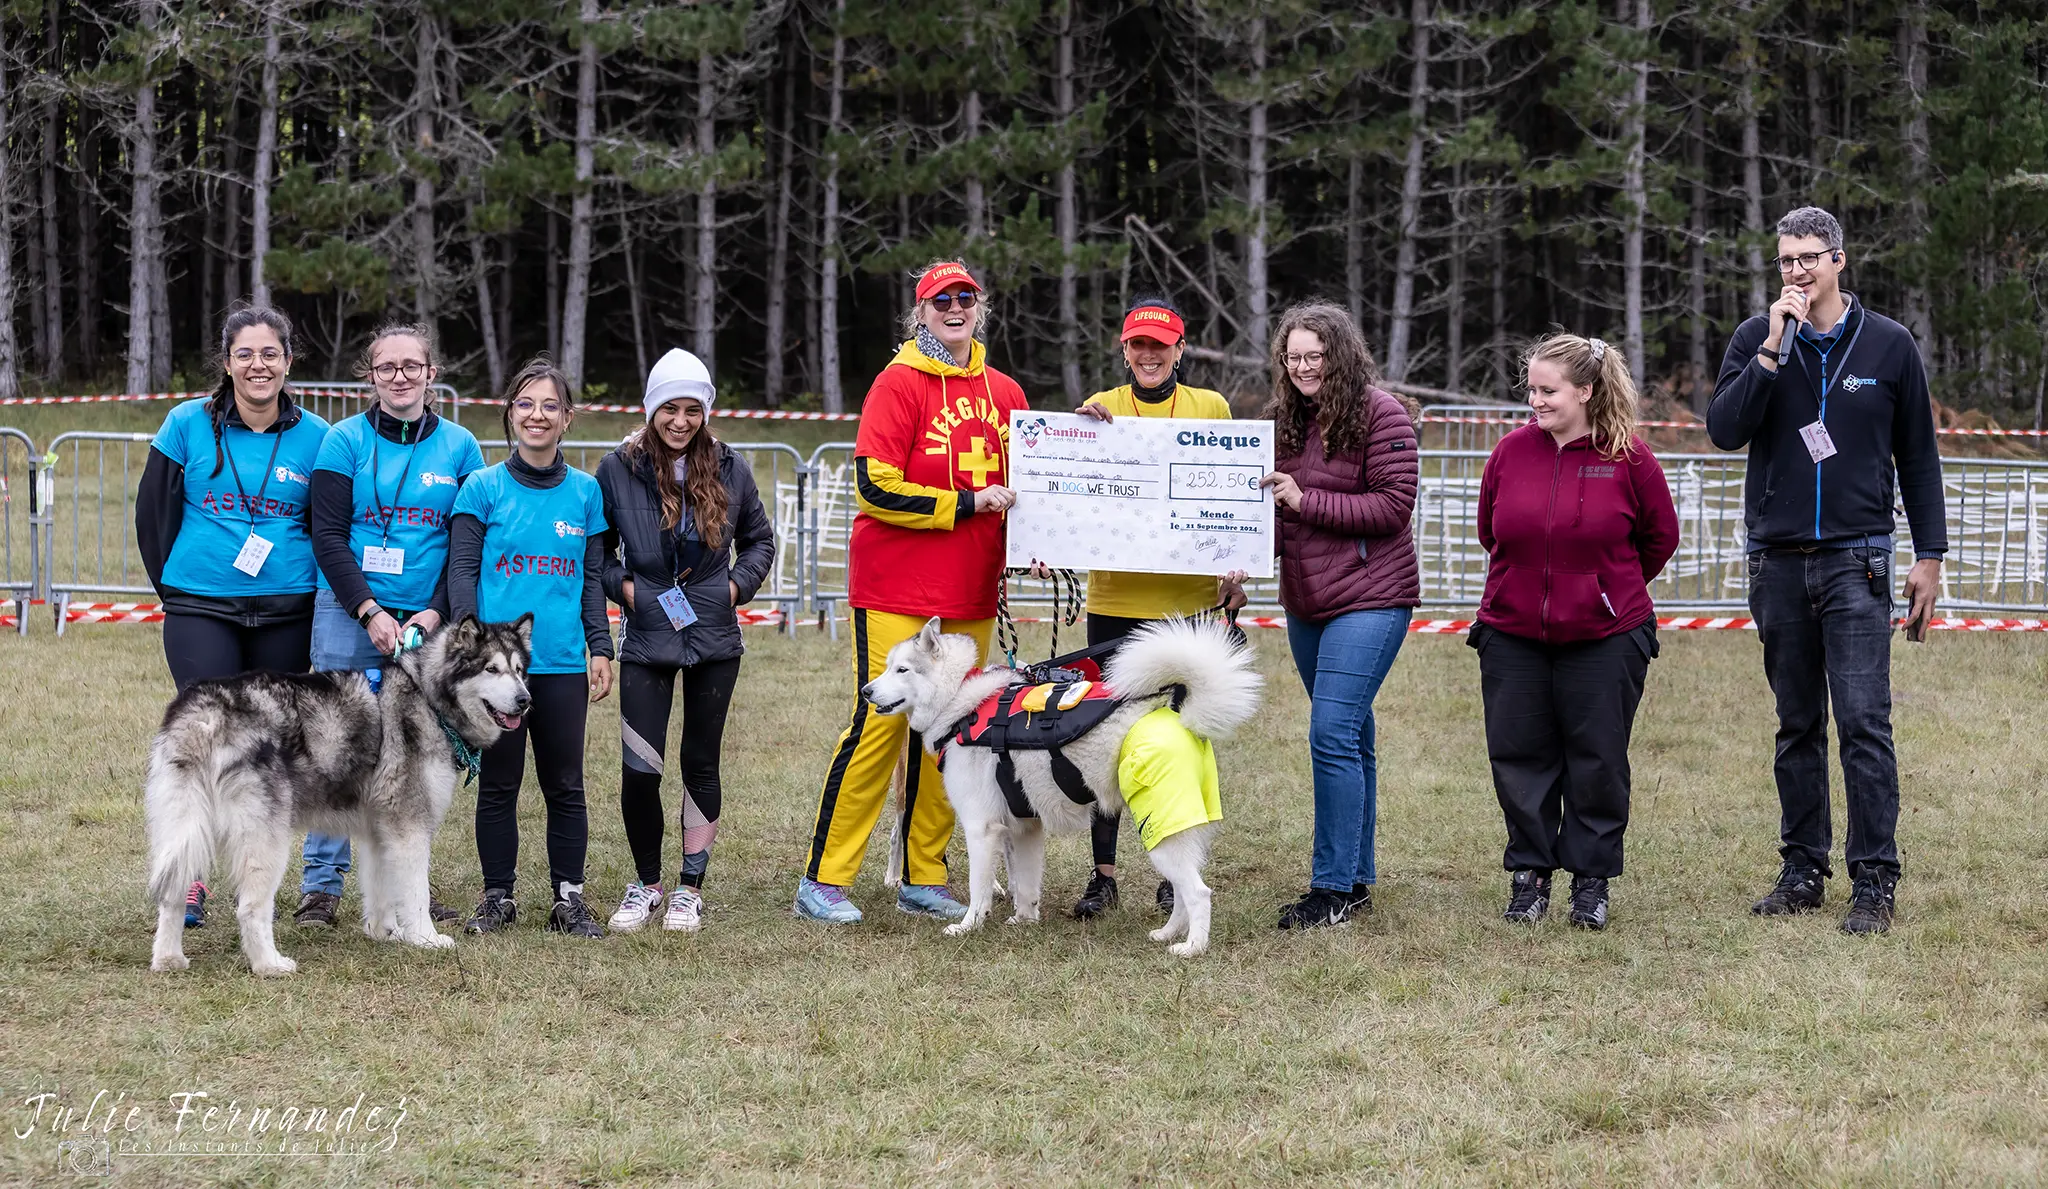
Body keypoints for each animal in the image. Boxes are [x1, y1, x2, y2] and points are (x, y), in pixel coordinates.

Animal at [147, 613, 532, 974]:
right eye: (491, 669)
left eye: (519, 671)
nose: (525, 700)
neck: (428, 698)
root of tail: (206, 710)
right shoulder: (409, 828)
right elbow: (416, 892)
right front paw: (426, 938)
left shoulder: (380, 832)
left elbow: (381, 889)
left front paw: (385, 932)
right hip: (265, 838)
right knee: (250, 906)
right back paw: (269, 965)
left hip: (185, 824)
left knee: (171, 892)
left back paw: (168, 959)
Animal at [856, 613, 1253, 953]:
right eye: (888, 666)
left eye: (902, 669)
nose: (866, 691)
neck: (962, 702)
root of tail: (1181, 719)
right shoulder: (1025, 828)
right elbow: (1026, 884)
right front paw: (1023, 920)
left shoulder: (982, 830)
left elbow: (979, 890)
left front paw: (968, 926)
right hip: (1179, 833)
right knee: (1184, 893)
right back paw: (1167, 934)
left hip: (1160, 835)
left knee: (1198, 893)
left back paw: (1191, 948)